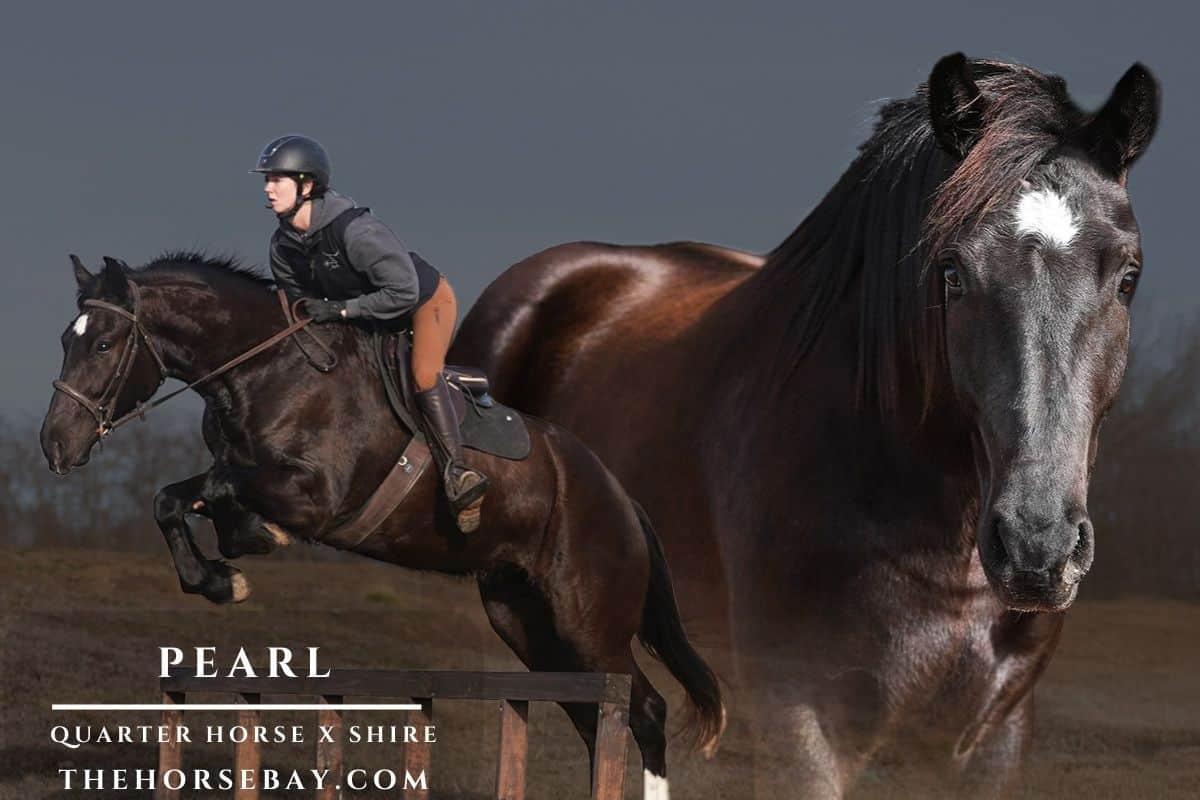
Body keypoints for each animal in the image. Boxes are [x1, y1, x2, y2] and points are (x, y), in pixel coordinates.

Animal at [39, 253, 725, 796]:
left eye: (103, 344)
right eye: (66, 340)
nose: (55, 445)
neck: (266, 369)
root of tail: (622, 498)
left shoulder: (315, 496)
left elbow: (221, 490)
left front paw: (239, 556)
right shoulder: (242, 476)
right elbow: (175, 500)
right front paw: (220, 575)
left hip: (588, 621)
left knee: (645, 711)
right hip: (525, 622)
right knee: (593, 718)